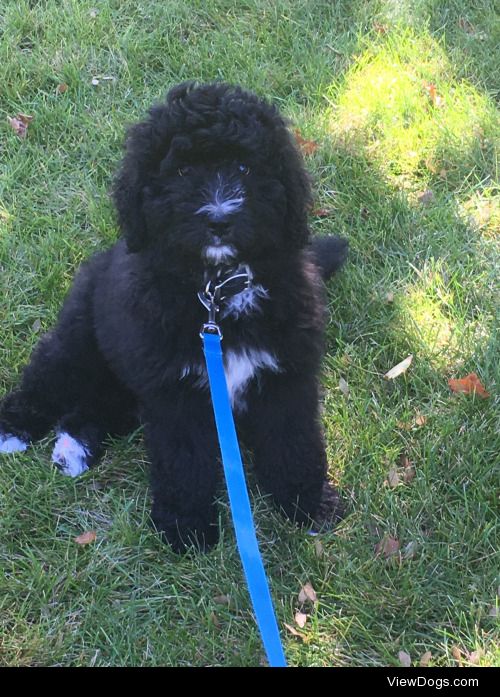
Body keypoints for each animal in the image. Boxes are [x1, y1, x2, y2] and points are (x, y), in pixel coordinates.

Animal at [0, 81, 348, 548]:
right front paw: (187, 525)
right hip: (79, 343)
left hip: (125, 384)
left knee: (90, 410)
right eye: (182, 173)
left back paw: (73, 449)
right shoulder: (176, 394)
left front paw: (307, 502)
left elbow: (293, 443)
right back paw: (12, 429)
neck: (216, 294)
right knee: (45, 382)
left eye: (244, 167)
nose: (219, 220)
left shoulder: (284, 379)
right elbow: (185, 461)